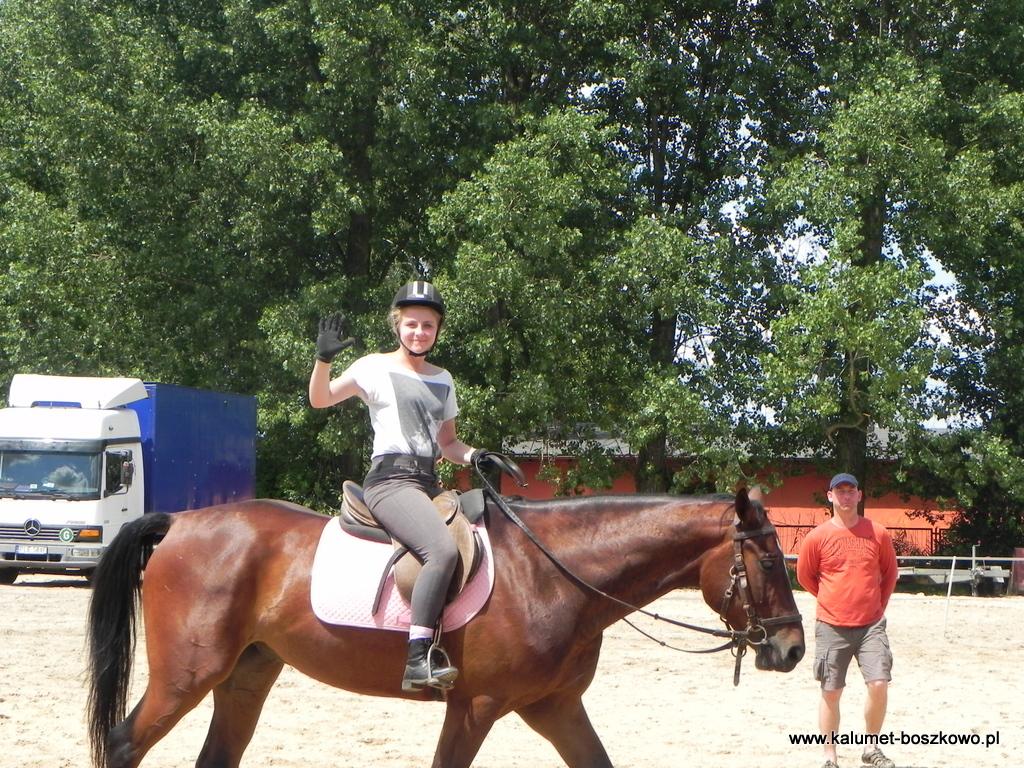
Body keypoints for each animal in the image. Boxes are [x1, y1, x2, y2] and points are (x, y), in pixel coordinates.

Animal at [87, 486, 805, 768]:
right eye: (771, 560)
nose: (793, 648)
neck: (554, 573)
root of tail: (180, 522)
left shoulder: (555, 707)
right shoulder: (476, 706)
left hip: (246, 674)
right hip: (187, 675)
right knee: (124, 744)